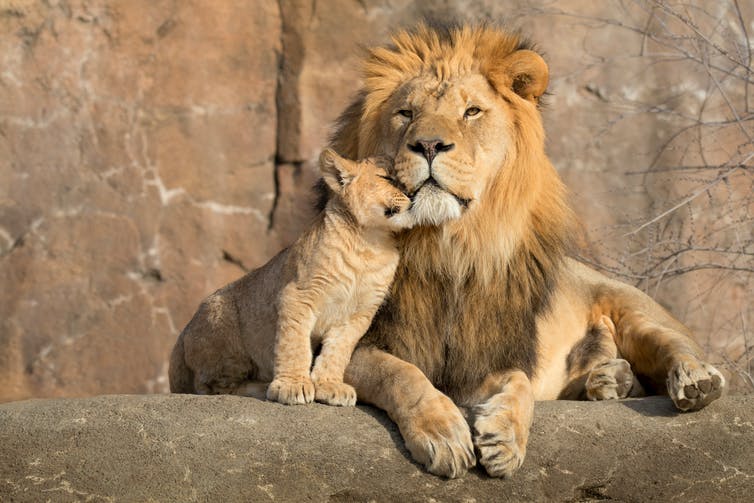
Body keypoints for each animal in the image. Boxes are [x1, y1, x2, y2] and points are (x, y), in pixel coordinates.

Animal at [169, 150, 413, 406]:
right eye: (387, 178)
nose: (413, 194)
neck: (371, 243)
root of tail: (182, 335)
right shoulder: (298, 294)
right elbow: (295, 344)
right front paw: (293, 385)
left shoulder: (359, 314)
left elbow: (337, 351)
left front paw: (330, 386)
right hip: (222, 324)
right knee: (209, 387)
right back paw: (262, 386)